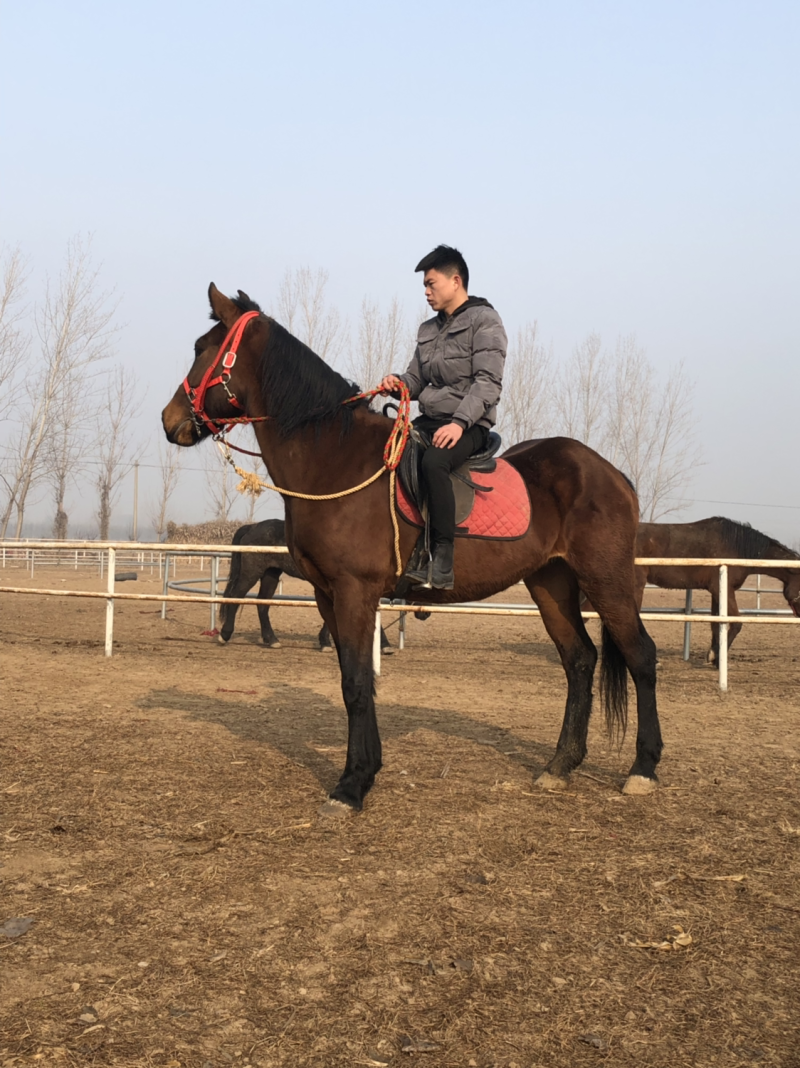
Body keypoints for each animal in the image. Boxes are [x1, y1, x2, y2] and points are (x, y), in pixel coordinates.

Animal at [218, 517, 395, 654]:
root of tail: (252, 527)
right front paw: (325, 643)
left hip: (271, 574)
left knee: (262, 604)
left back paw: (272, 640)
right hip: (251, 573)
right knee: (236, 597)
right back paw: (224, 635)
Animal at [636, 517, 800, 663]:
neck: (738, 548)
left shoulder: (716, 592)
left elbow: (716, 622)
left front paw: (714, 657)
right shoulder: (724, 589)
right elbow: (736, 623)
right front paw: (715, 657)